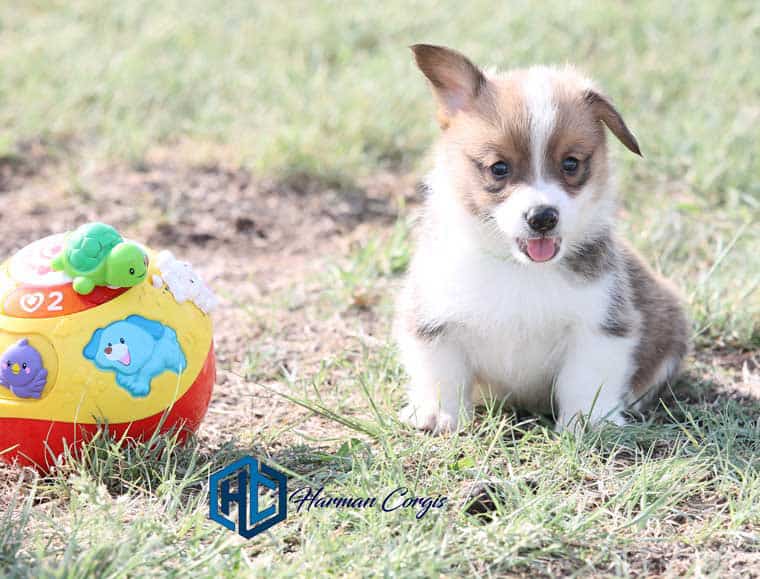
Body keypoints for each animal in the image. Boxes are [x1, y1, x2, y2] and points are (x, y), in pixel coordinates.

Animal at [398, 45, 688, 432]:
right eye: (499, 168)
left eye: (571, 163)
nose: (543, 218)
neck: (519, 269)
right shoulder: (433, 319)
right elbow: (442, 371)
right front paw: (438, 414)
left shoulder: (599, 325)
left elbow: (585, 378)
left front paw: (586, 420)